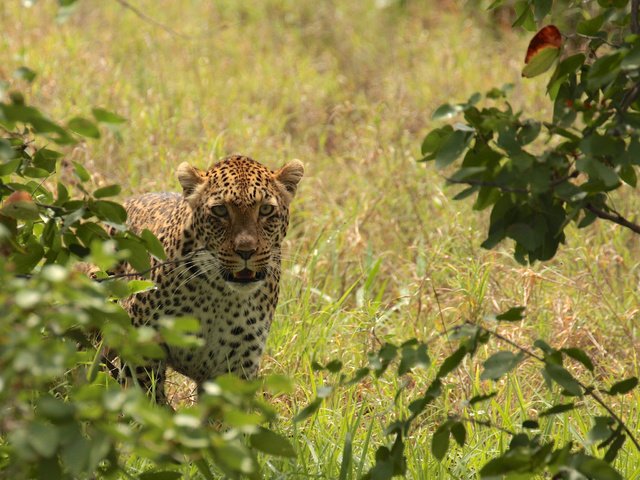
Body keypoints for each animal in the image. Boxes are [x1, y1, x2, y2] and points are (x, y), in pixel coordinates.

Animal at [115, 156, 304, 404]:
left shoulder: (236, 366)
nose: (246, 251)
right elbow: (146, 400)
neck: (218, 295)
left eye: (266, 209)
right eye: (220, 210)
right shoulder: (142, 347)